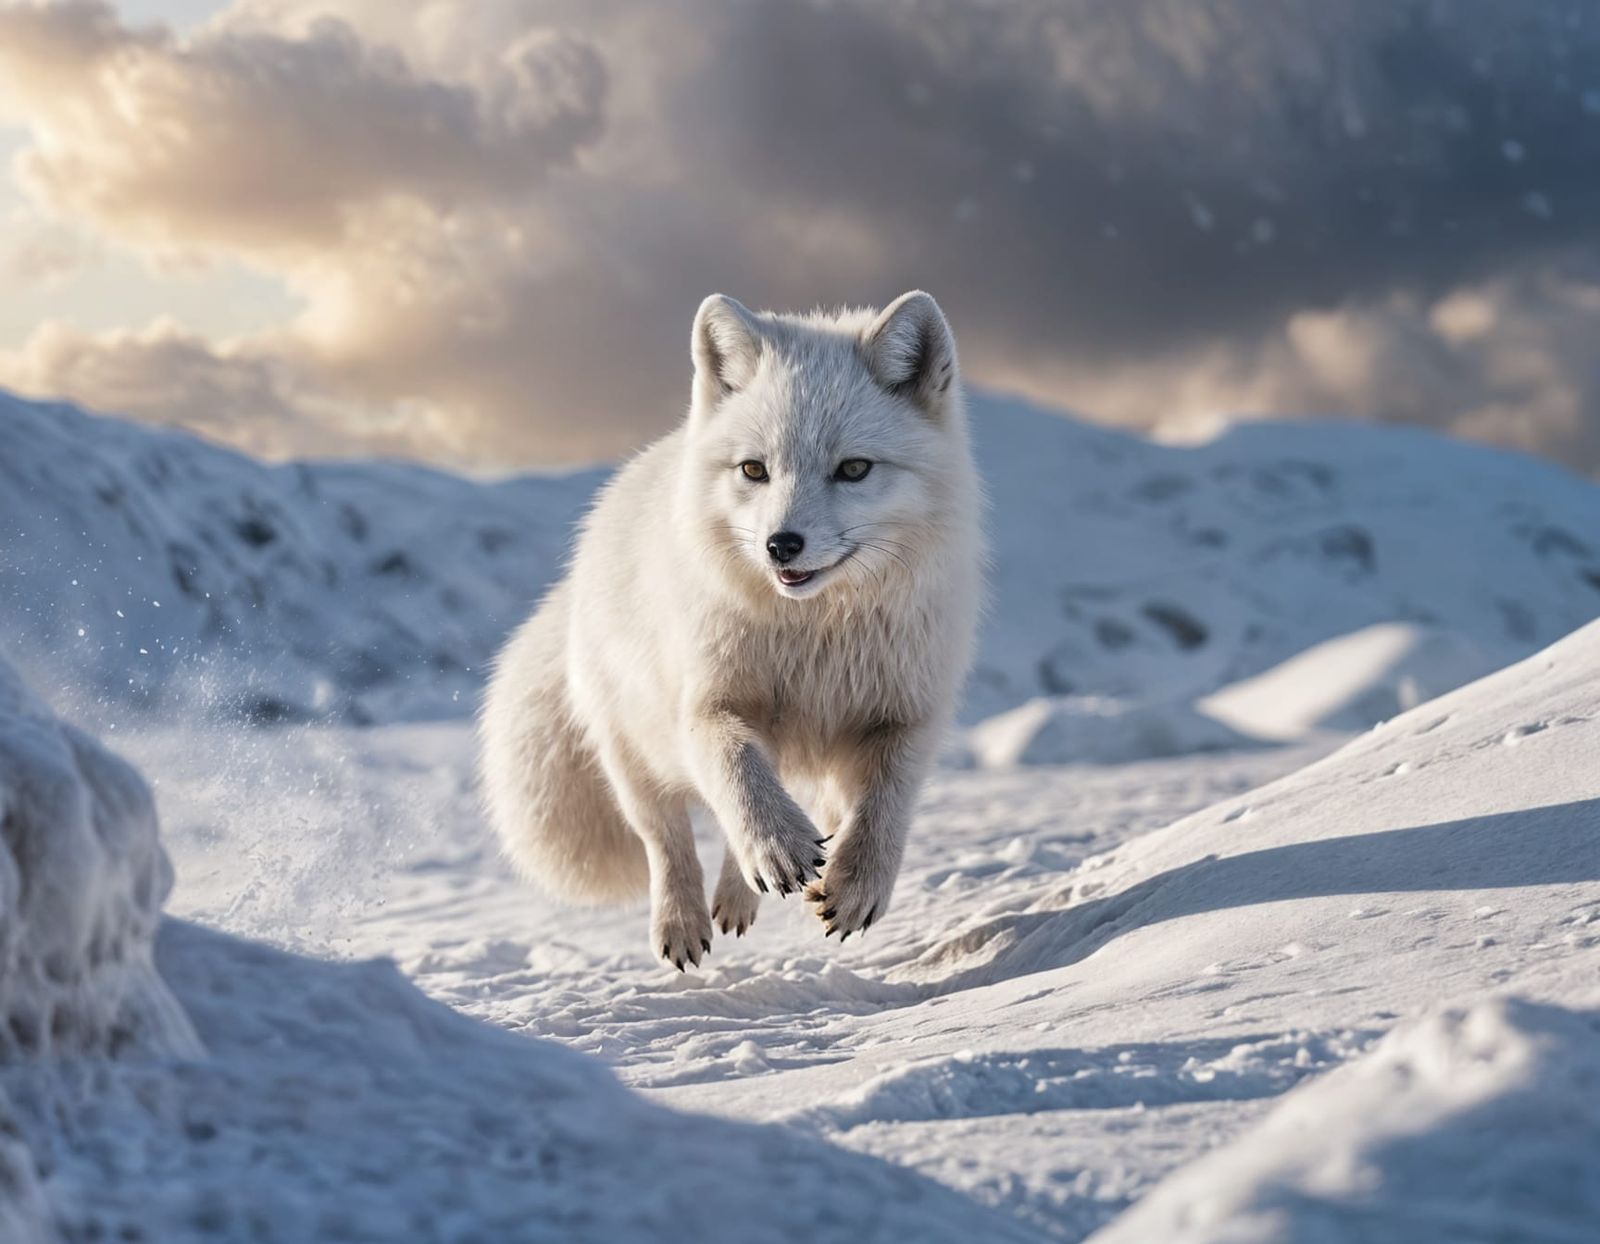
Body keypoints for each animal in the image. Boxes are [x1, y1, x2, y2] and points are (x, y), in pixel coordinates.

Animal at [479, 291, 982, 969]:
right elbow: (737, 773)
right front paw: (777, 848)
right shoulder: (708, 707)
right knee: (667, 837)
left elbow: (883, 808)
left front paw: (854, 888)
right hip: (631, 755)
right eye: (753, 469)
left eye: (854, 469)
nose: (781, 545)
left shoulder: (907, 715)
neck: (814, 638)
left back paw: (751, 892)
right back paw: (685, 919)